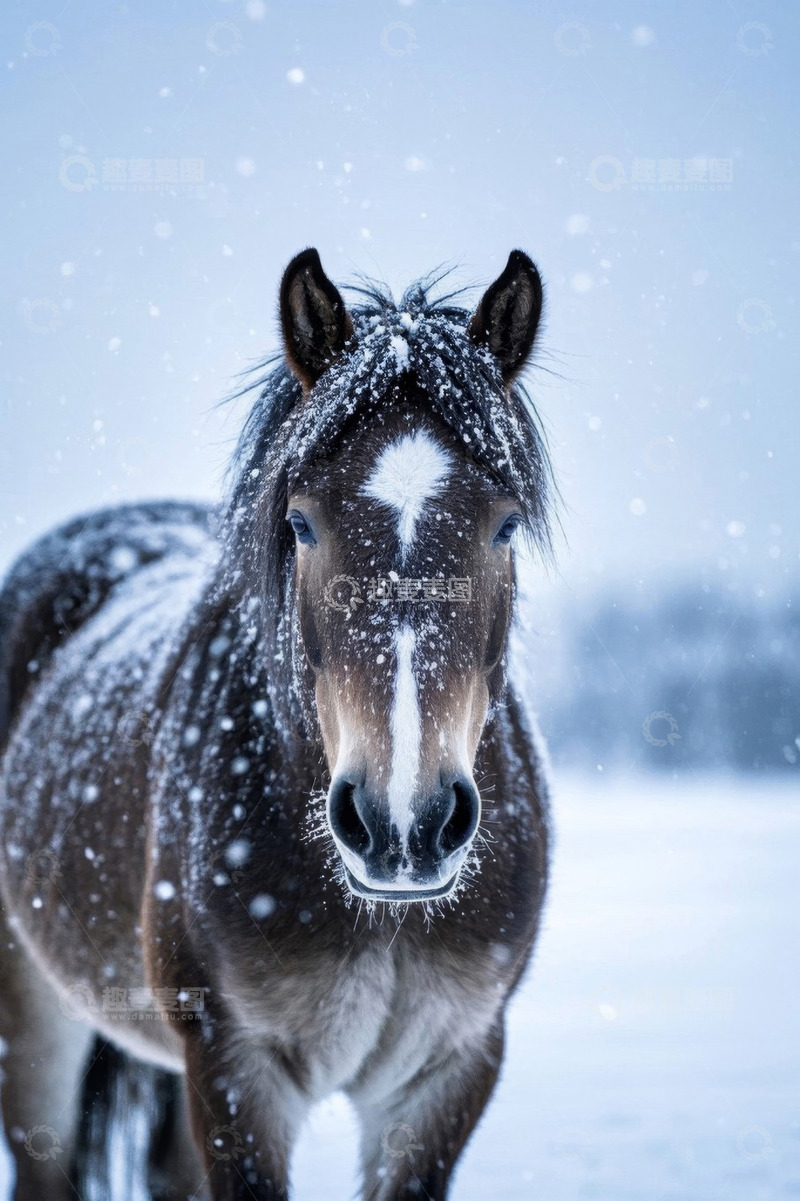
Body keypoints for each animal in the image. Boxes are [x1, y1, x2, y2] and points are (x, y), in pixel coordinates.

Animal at [0, 247, 554, 1200]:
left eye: (506, 525)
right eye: (301, 521)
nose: (402, 826)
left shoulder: (449, 1072)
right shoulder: (237, 1068)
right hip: (34, 1019)